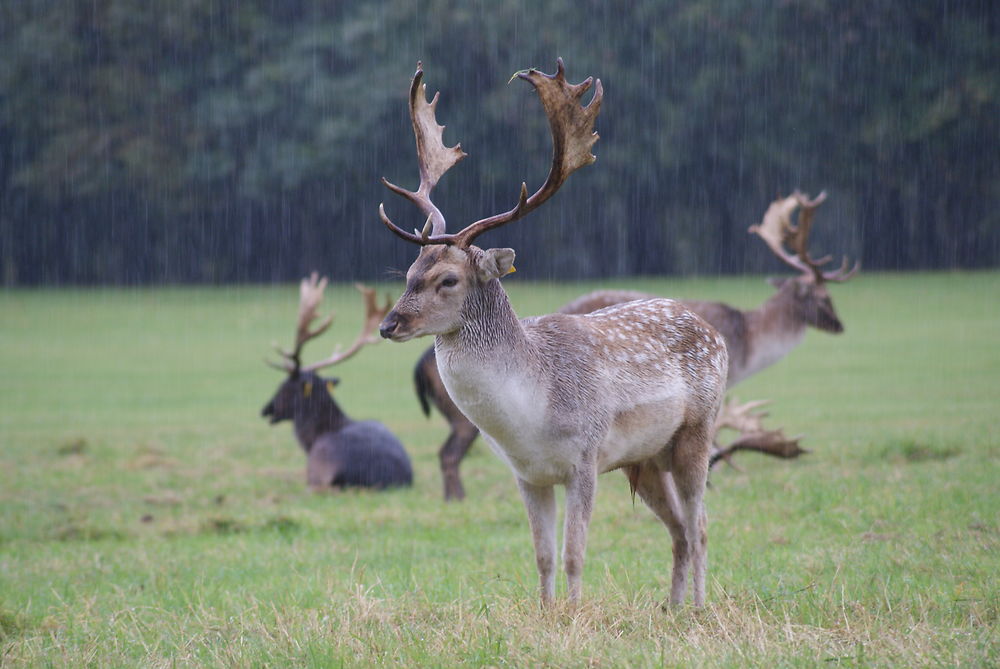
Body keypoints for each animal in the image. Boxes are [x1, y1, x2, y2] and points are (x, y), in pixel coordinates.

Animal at [376, 61, 728, 604]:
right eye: (410, 272)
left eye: (448, 279)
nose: (388, 324)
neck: (531, 411)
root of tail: (714, 332)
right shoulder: (527, 473)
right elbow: (541, 557)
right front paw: (546, 612)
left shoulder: (585, 458)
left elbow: (573, 554)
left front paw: (575, 613)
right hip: (646, 459)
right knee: (677, 532)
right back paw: (669, 608)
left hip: (697, 432)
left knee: (701, 527)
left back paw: (697, 608)